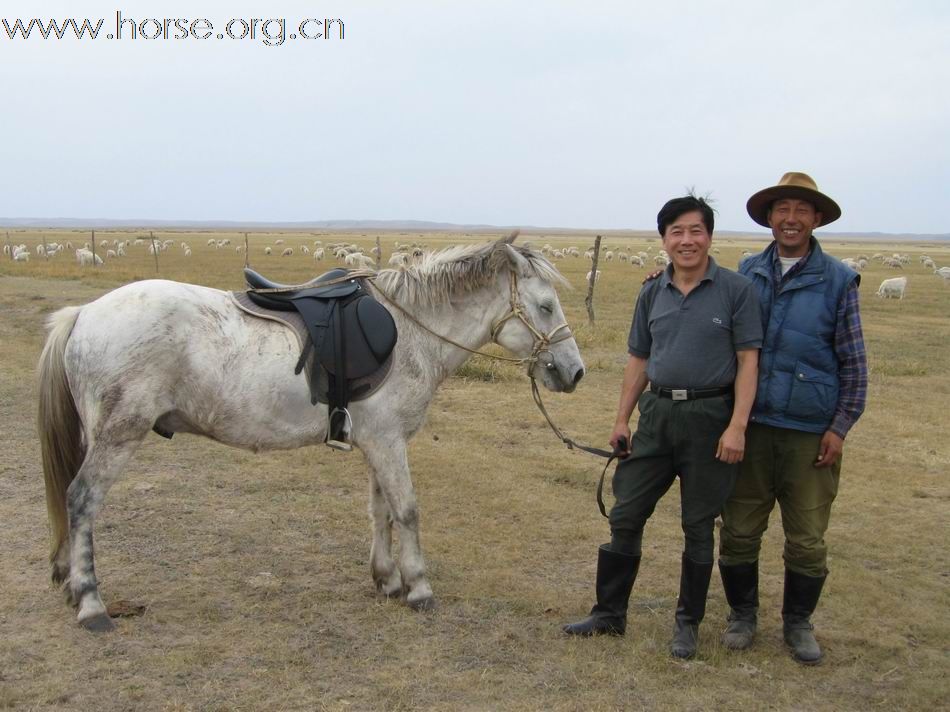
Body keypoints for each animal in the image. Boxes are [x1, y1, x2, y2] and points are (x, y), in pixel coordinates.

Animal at [39, 236, 588, 632]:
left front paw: (386, 580)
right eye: (545, 306)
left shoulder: (378, 441)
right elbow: (408, 510)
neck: (411, 331)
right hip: (118, 436)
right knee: (81, 500)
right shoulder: (389, 442)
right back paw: (91, 604)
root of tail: (84, 314)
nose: (574, 371)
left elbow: (380, 510)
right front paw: (419, 588)